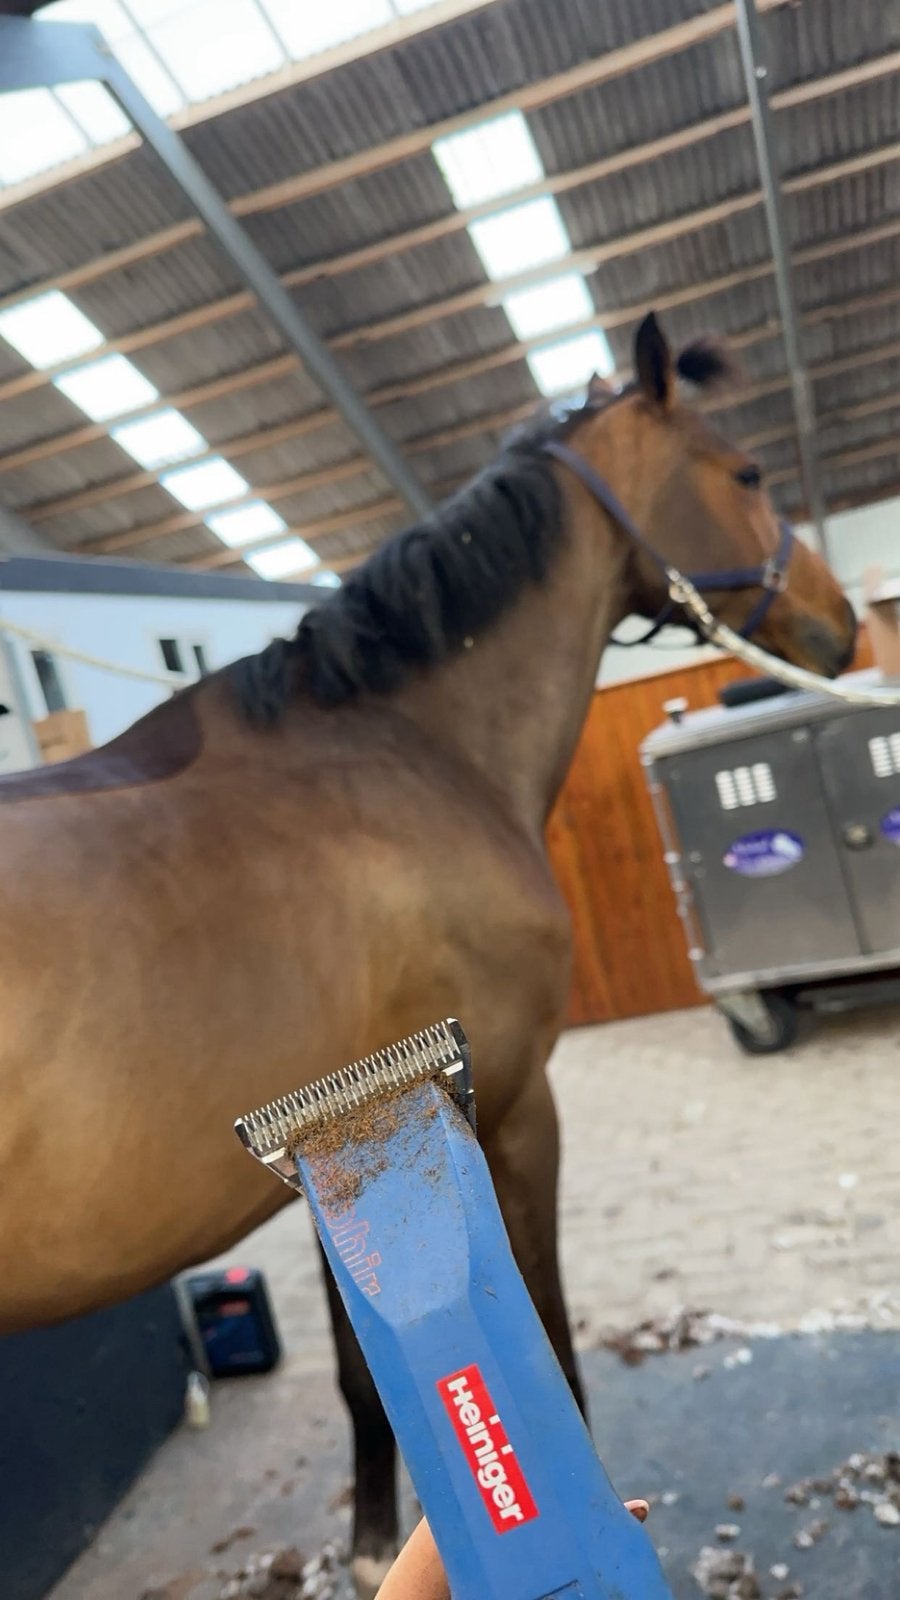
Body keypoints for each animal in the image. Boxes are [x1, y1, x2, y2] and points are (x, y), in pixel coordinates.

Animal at [0, 314, 854, 1596]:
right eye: (746, 473)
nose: (844, 624)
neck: (399, 752)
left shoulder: (337, 1134)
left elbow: (364, 1368)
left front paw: (364, 1543)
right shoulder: (514, 1103)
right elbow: (549, 1330)